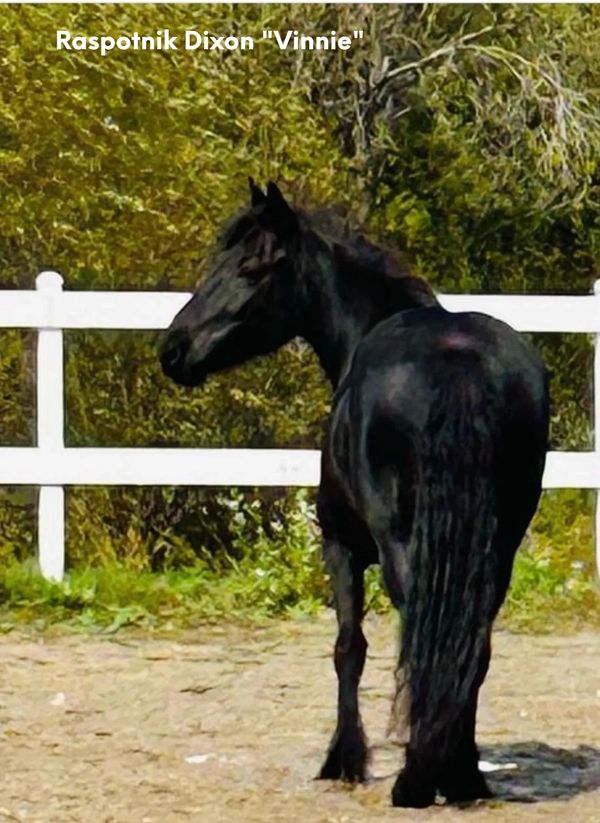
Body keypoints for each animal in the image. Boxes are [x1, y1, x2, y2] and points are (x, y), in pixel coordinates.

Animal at [159, 179, 549, 807]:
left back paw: (418, 778)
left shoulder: (339, 548)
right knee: (472, 643)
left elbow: (349, 648)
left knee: (422, 637)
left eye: (251, 266)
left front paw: (343, 759)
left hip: (400, 548)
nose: (173, 348)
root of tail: (457, 356)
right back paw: (461, 772)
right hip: (499, 548)